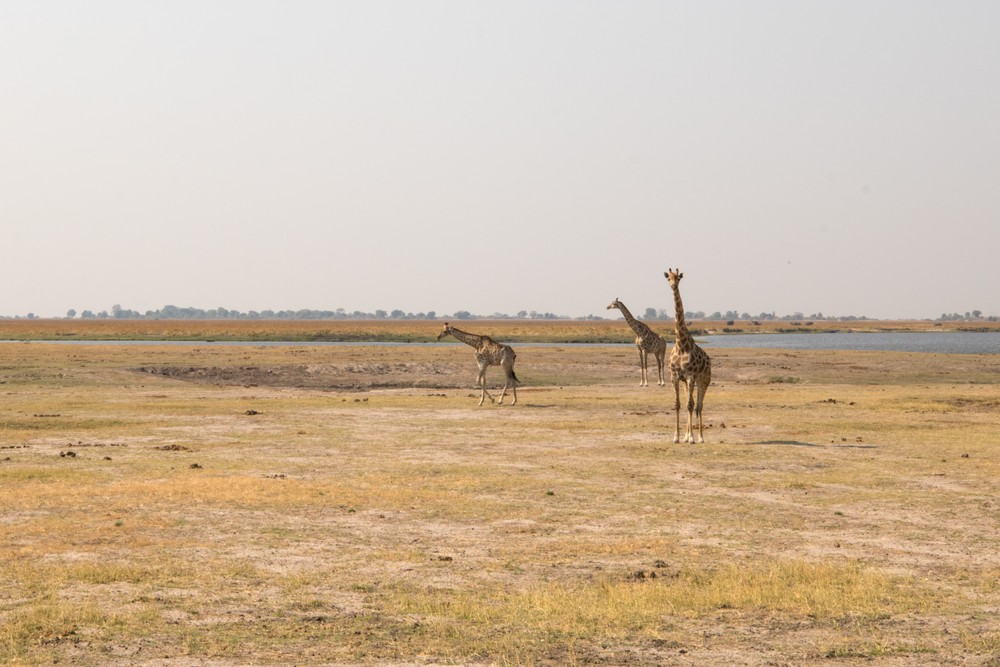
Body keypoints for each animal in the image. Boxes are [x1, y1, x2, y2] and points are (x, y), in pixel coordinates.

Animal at [664, 268, 712, 443]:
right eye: (668, 278)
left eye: (678, 278)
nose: (673, 285)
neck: (681, 345)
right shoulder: (675, 377)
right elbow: (678, 404)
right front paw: (677, 437)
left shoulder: (691, 377)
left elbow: (691, 406)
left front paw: (692, 438)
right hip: (687, 383)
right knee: (689, 403)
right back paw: (686, 436)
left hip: (704, 380)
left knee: (698, 405)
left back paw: (700, 437)